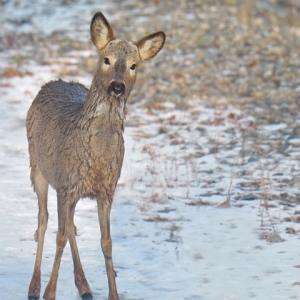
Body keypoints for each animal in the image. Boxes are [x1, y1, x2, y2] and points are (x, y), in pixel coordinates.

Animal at [26, 11, 165, 300]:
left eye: (134, 65)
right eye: (106, 59)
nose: (117, 86)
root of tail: (52, 82)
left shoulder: (106, 190)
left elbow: (106, 242)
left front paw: (114, 294)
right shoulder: (66, 185)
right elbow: (59, 236)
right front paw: (49, 293)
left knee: (71, 226)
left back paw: (84, 286)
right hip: (37, 167)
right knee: (43, 220)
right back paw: (34, 287)